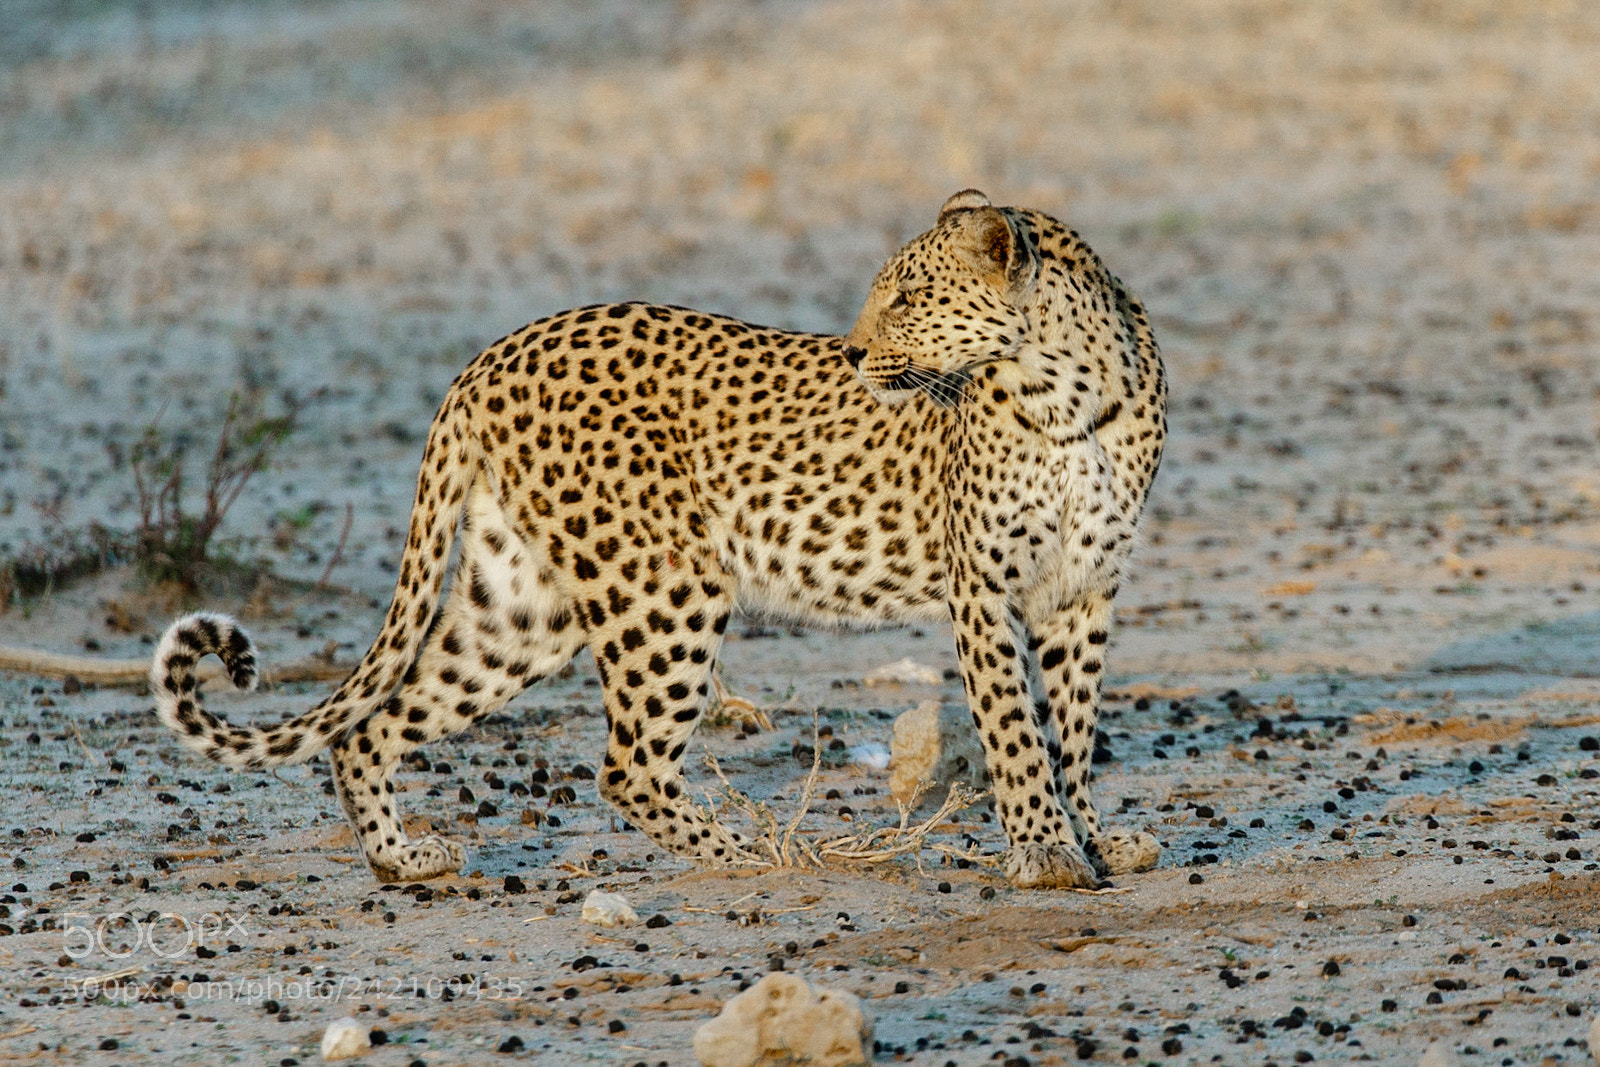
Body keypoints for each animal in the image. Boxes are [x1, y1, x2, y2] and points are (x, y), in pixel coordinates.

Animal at [151, 189, 1167, 890]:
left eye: (910, 296)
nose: (851, 353)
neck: (1068, 398)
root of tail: (485, 359)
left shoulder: (1084, 591)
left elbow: (1073, 731)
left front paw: (1093, 837)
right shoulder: (982, 587)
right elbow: (1014, 729)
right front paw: (1043, 854)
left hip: (522, 609)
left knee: (375, 724)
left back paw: (402, 859)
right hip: (666, 588)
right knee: (627, 764)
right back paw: (755, 851)